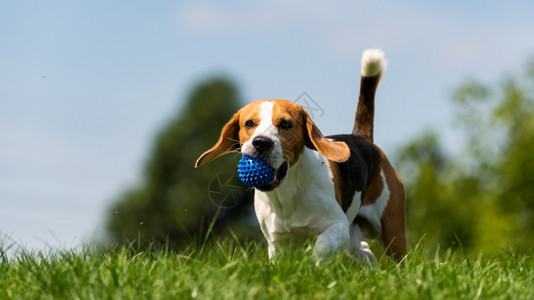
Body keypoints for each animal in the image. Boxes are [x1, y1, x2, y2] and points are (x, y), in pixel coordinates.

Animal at [196, 48, 406, 262]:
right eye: (249, 123)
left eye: (285, 124)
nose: (261, 142)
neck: (287, 192)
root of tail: (362, 138)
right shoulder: (276, 241)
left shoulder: (338, 225)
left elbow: (322, 244)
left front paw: (314, 263)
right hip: (356, 238)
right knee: (364, 249)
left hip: (391, 230)